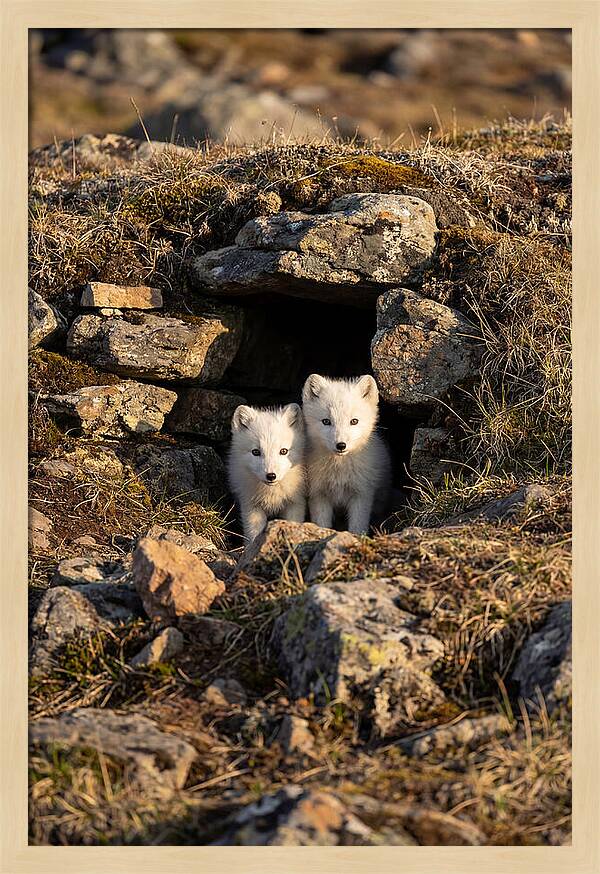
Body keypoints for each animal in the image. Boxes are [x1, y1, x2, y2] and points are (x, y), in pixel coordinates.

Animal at [228, 403, 307, 542]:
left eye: (284, 451)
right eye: (256, 452)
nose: (271, 476)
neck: (271, 493)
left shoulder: (296, 503)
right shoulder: (251, 506)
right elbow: (253, 535)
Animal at [302, 374, 392, 534]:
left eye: (354, 421)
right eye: (326, 421)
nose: (341, 445)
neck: (339, 470)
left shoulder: (362, 494)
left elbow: (357, 527)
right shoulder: (318, 494)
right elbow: (322, 523)